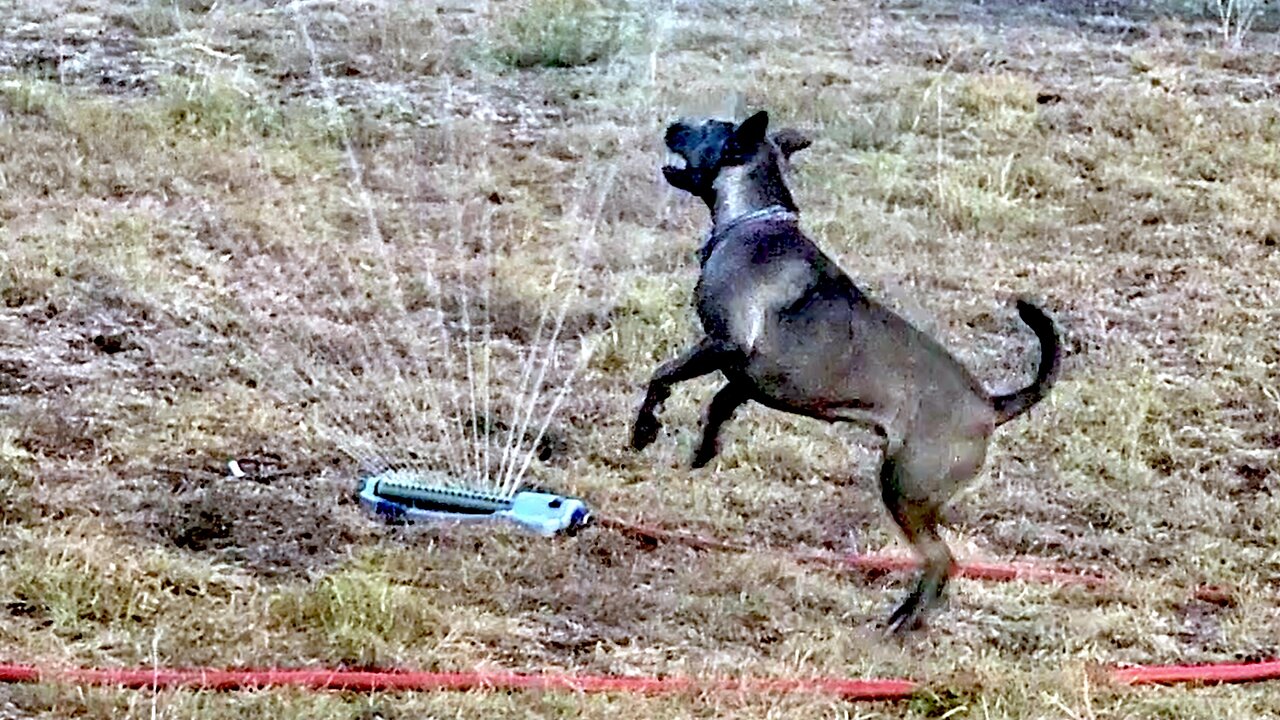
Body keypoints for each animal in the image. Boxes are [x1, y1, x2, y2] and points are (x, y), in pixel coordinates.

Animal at [629, 109, 1059, 630]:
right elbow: (719, 404)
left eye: (707, 127)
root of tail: (990, 406)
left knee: (942, 562)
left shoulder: (724, 346)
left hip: (904, 489)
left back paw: (901, 627)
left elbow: (662, 376)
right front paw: (704, 450)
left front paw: (644, 431)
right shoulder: (749, 376)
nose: (672, 124)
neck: (752, 219)